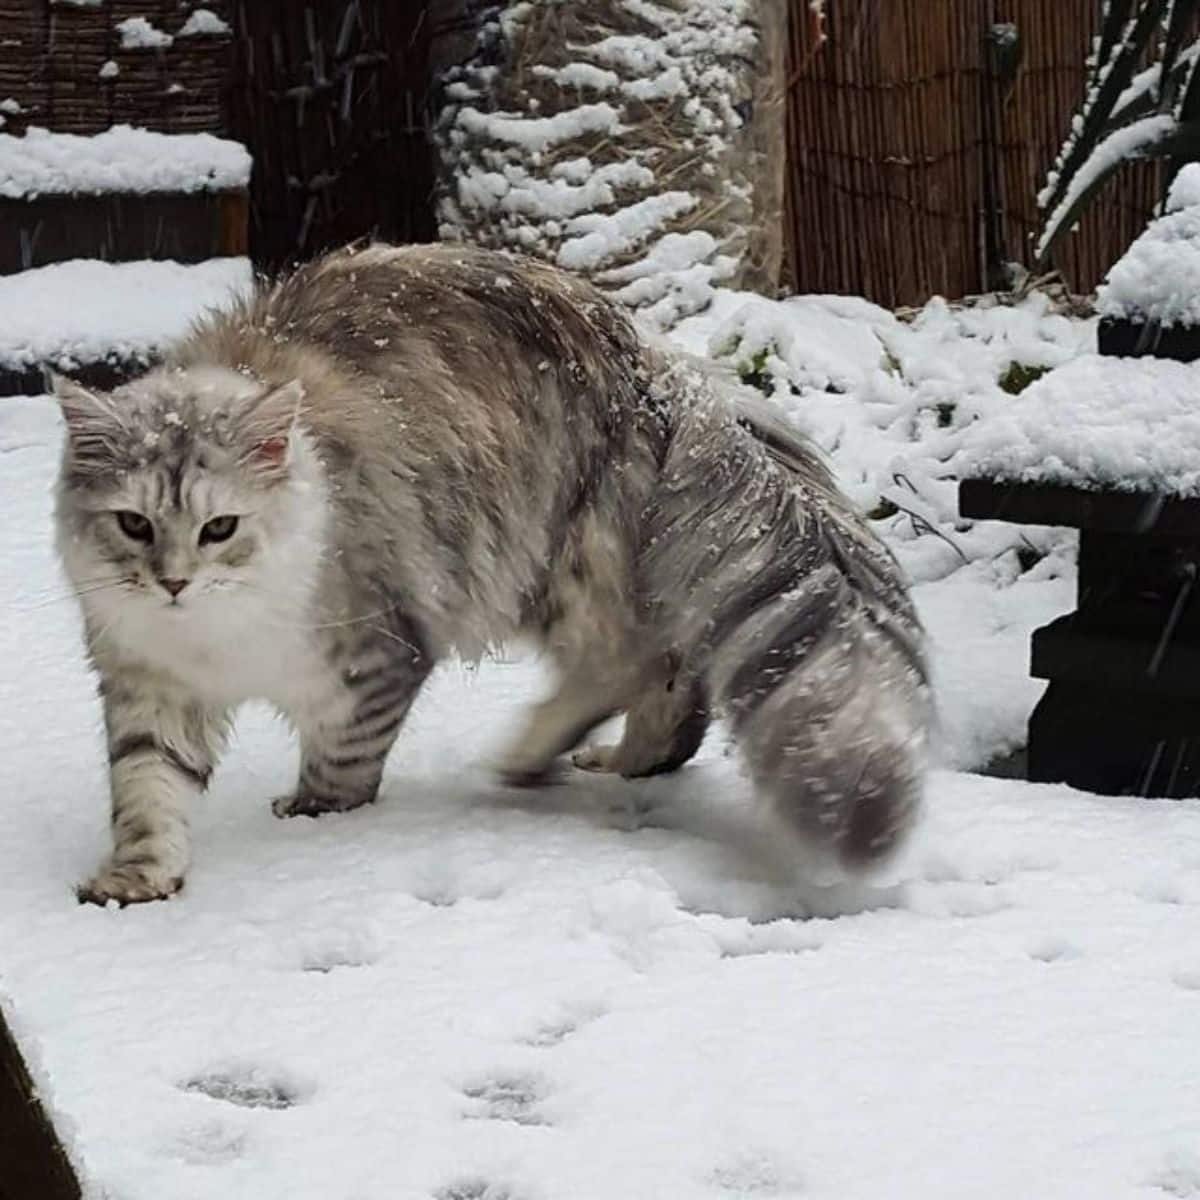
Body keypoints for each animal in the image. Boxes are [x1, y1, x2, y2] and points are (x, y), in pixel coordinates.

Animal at [51, 241, 931, 902]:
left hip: (544, 565)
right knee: (674, 682)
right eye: (134, 525)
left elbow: (343, 759)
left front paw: (315, 813)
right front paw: (139, 876)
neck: (215, 640)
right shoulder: (148, 686)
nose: (172, 582)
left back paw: (530, 755)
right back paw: (624, 759)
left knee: (628, 664)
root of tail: (657, 365)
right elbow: (148, 789)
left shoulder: (375, 653)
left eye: (220, 528)